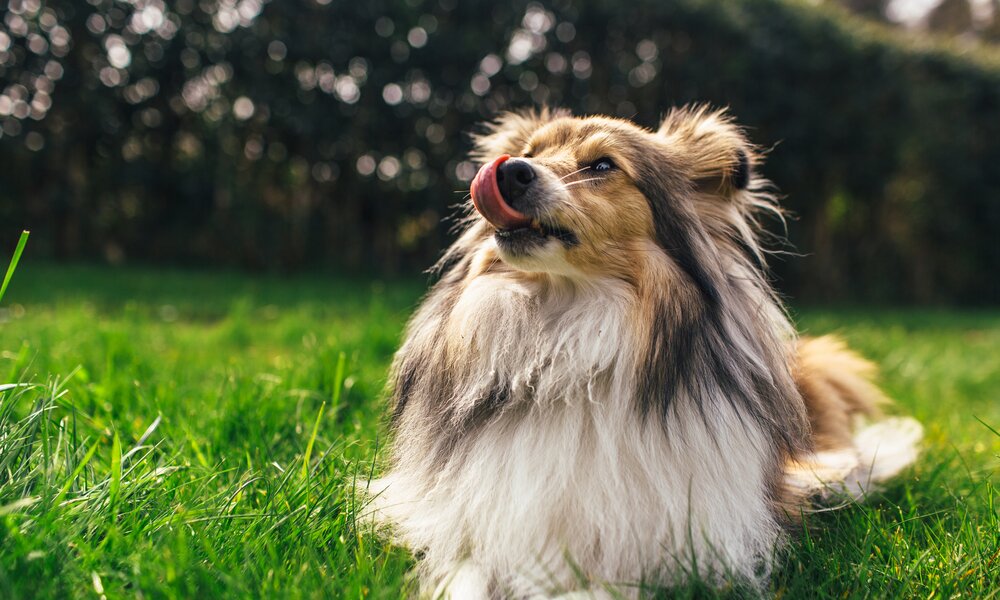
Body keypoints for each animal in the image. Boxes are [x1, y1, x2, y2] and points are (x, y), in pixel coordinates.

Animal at [372, 109, 924, 600]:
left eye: (602, 165)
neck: (567, 336)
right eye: (530, 152)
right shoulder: (476, 528)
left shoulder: (672, 548)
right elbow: (465, 576)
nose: (509, 171)